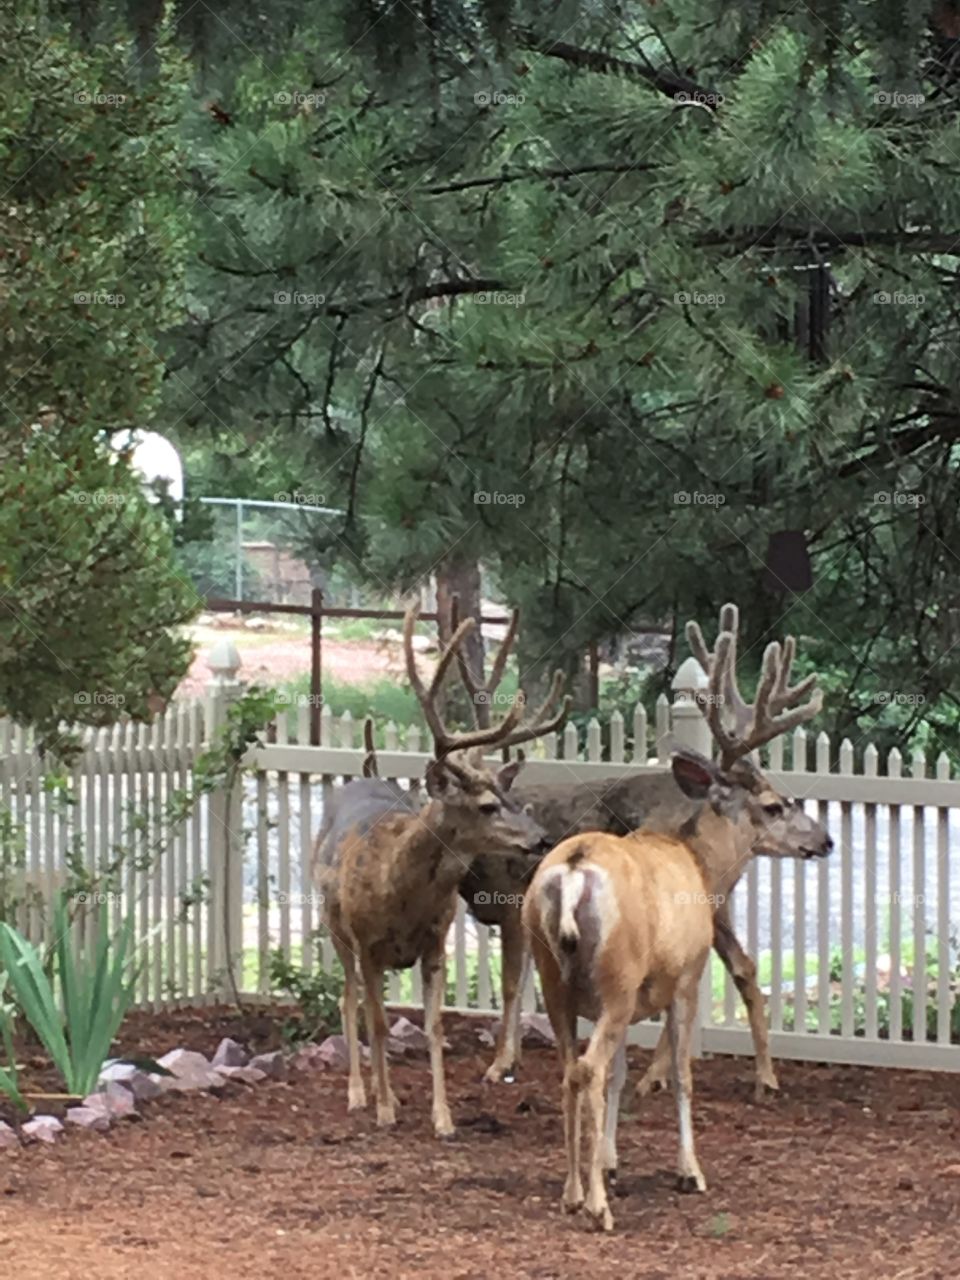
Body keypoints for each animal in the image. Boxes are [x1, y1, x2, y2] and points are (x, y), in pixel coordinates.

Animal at [312, 602, 569, 1137]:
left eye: (511, 795)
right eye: (488, 805)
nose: (541, 839)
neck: (401, 892)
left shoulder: (435, 944)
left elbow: (433, 1028)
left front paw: (443, 1117)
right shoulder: (367, 944)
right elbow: (377, 1022)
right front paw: (385, 1108)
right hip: (336, 930)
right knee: (348, 1000)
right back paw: (358, 1093)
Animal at [522, 630, 833, 1231]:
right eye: (773, 805)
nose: (826, 840)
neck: (699, 862)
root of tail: (571, 872)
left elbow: (622, 1074)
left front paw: (610, 1161)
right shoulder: (686, 975)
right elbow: (682, 1075)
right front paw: (690, 1170)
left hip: (556, 980)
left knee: (571, 1070)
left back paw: (572, 1191)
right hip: (616, 977)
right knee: (587, 1069)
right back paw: (597, 1205)